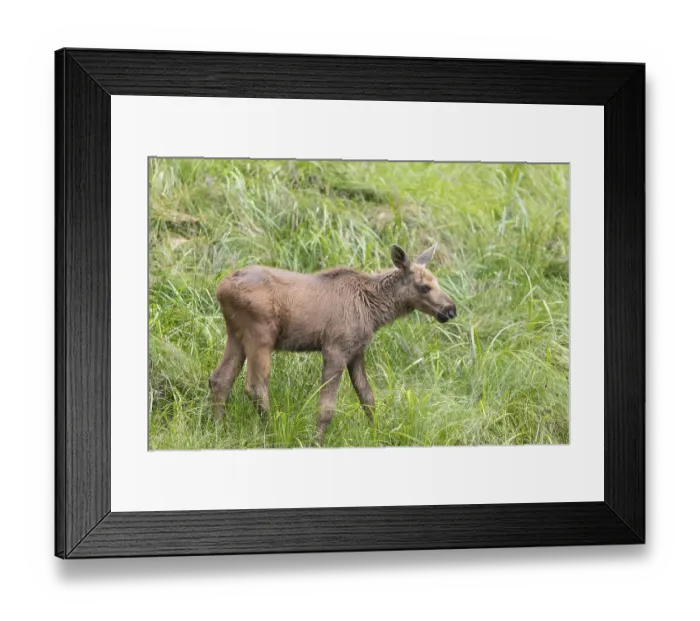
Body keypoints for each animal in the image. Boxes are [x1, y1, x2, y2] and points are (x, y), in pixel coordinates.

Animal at [209, 243, 457, 445]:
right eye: (424, 286)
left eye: (437, 281)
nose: (451, 310)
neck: (374, 310)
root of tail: (221, 289)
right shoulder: (335, 349)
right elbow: (327, 407)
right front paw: (316, 442)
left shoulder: (357, 351)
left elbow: (368, 398)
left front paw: (377, 436)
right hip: (260, 335)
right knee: (256, 387)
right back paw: (272, 434)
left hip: (236, 335)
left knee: (220, 379)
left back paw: (219, 429)